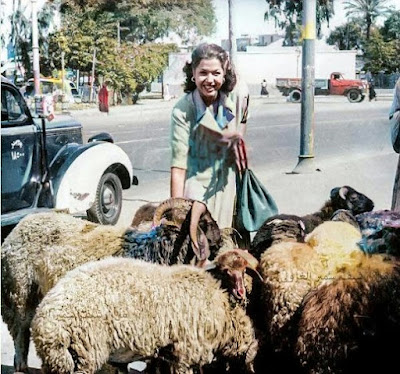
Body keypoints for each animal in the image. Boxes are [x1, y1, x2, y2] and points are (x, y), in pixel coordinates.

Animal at [32, 248, 262, 374]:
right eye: (226, 271)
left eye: (244, 271)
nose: (241, 292)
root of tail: (44, 324)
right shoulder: (185, 353)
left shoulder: (165, 354)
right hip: (83, 353)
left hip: (58, 361)